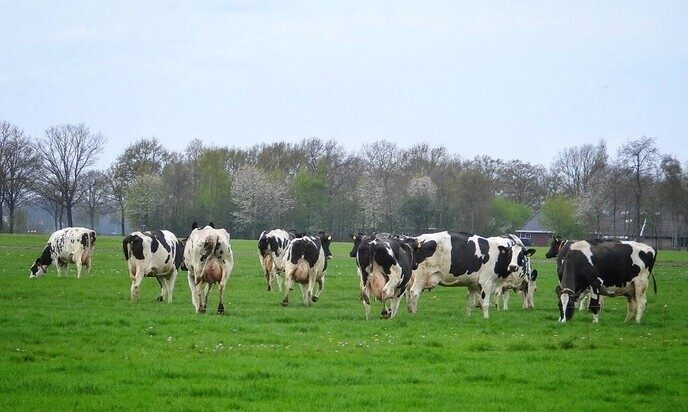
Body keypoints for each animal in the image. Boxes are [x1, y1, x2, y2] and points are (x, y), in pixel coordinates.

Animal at [403, 231, 533, 319]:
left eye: (521, 255)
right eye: (510, 253)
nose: (513, 267)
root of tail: (418, 239)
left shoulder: (473, 285)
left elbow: (470, 303)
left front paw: (468, 317)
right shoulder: (486, 283)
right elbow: (485, 303)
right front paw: (486, 318)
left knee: (408, 294)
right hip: (421, 277)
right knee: (414, 293)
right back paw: (413, 314)